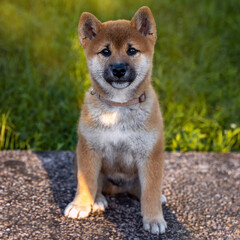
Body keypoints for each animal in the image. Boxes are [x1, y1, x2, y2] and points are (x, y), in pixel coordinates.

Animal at [64, 6, 168, 234]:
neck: (119, 108)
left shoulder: (150, 154)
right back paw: (98, 199)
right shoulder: (89, 148)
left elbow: (150, 191)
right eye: (105, 51)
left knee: (141, 189)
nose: (119, 69)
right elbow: (86, 181)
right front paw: (80, 205)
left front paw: (154, 218)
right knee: (98, 184)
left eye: (132, 51)